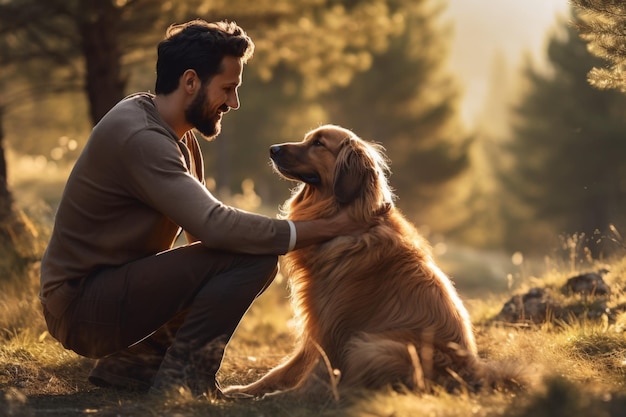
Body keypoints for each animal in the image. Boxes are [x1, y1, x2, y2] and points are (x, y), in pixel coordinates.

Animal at [224, 124, 492, 396]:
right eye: (307, 139)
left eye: (318, 144)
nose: (273, 149)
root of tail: (471, 372)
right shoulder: (317, 322)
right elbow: (285, 369)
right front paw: (243, 389)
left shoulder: (333, 324)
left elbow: (316, 373)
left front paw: (284, 395)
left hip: (373, 346)